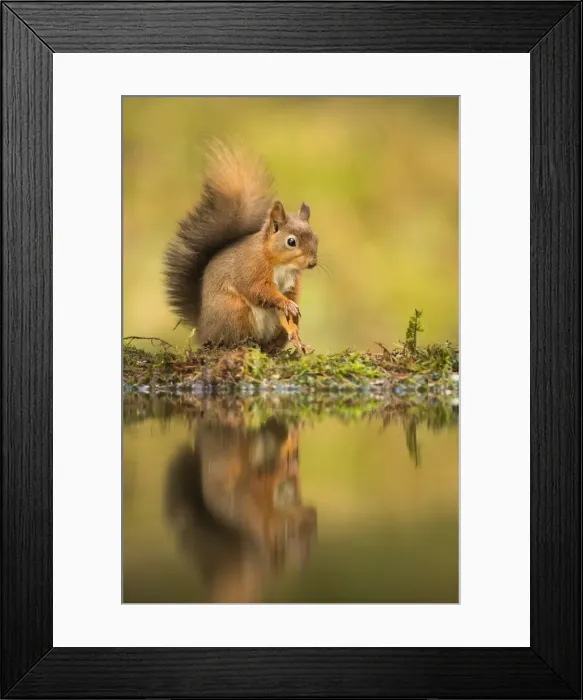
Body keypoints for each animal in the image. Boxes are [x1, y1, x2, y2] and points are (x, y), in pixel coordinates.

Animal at [163, 140, 318, 354]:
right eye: (291, 242)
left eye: (316, 238)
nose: (313, 263)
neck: (280, 264)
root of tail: (204, 331)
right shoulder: (252, 270)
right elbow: (259, 291)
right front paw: (287, 304)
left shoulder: (291, 284)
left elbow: (286, 313)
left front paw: (295, 329)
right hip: (235, 311)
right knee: (232, 339)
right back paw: (245, 344)